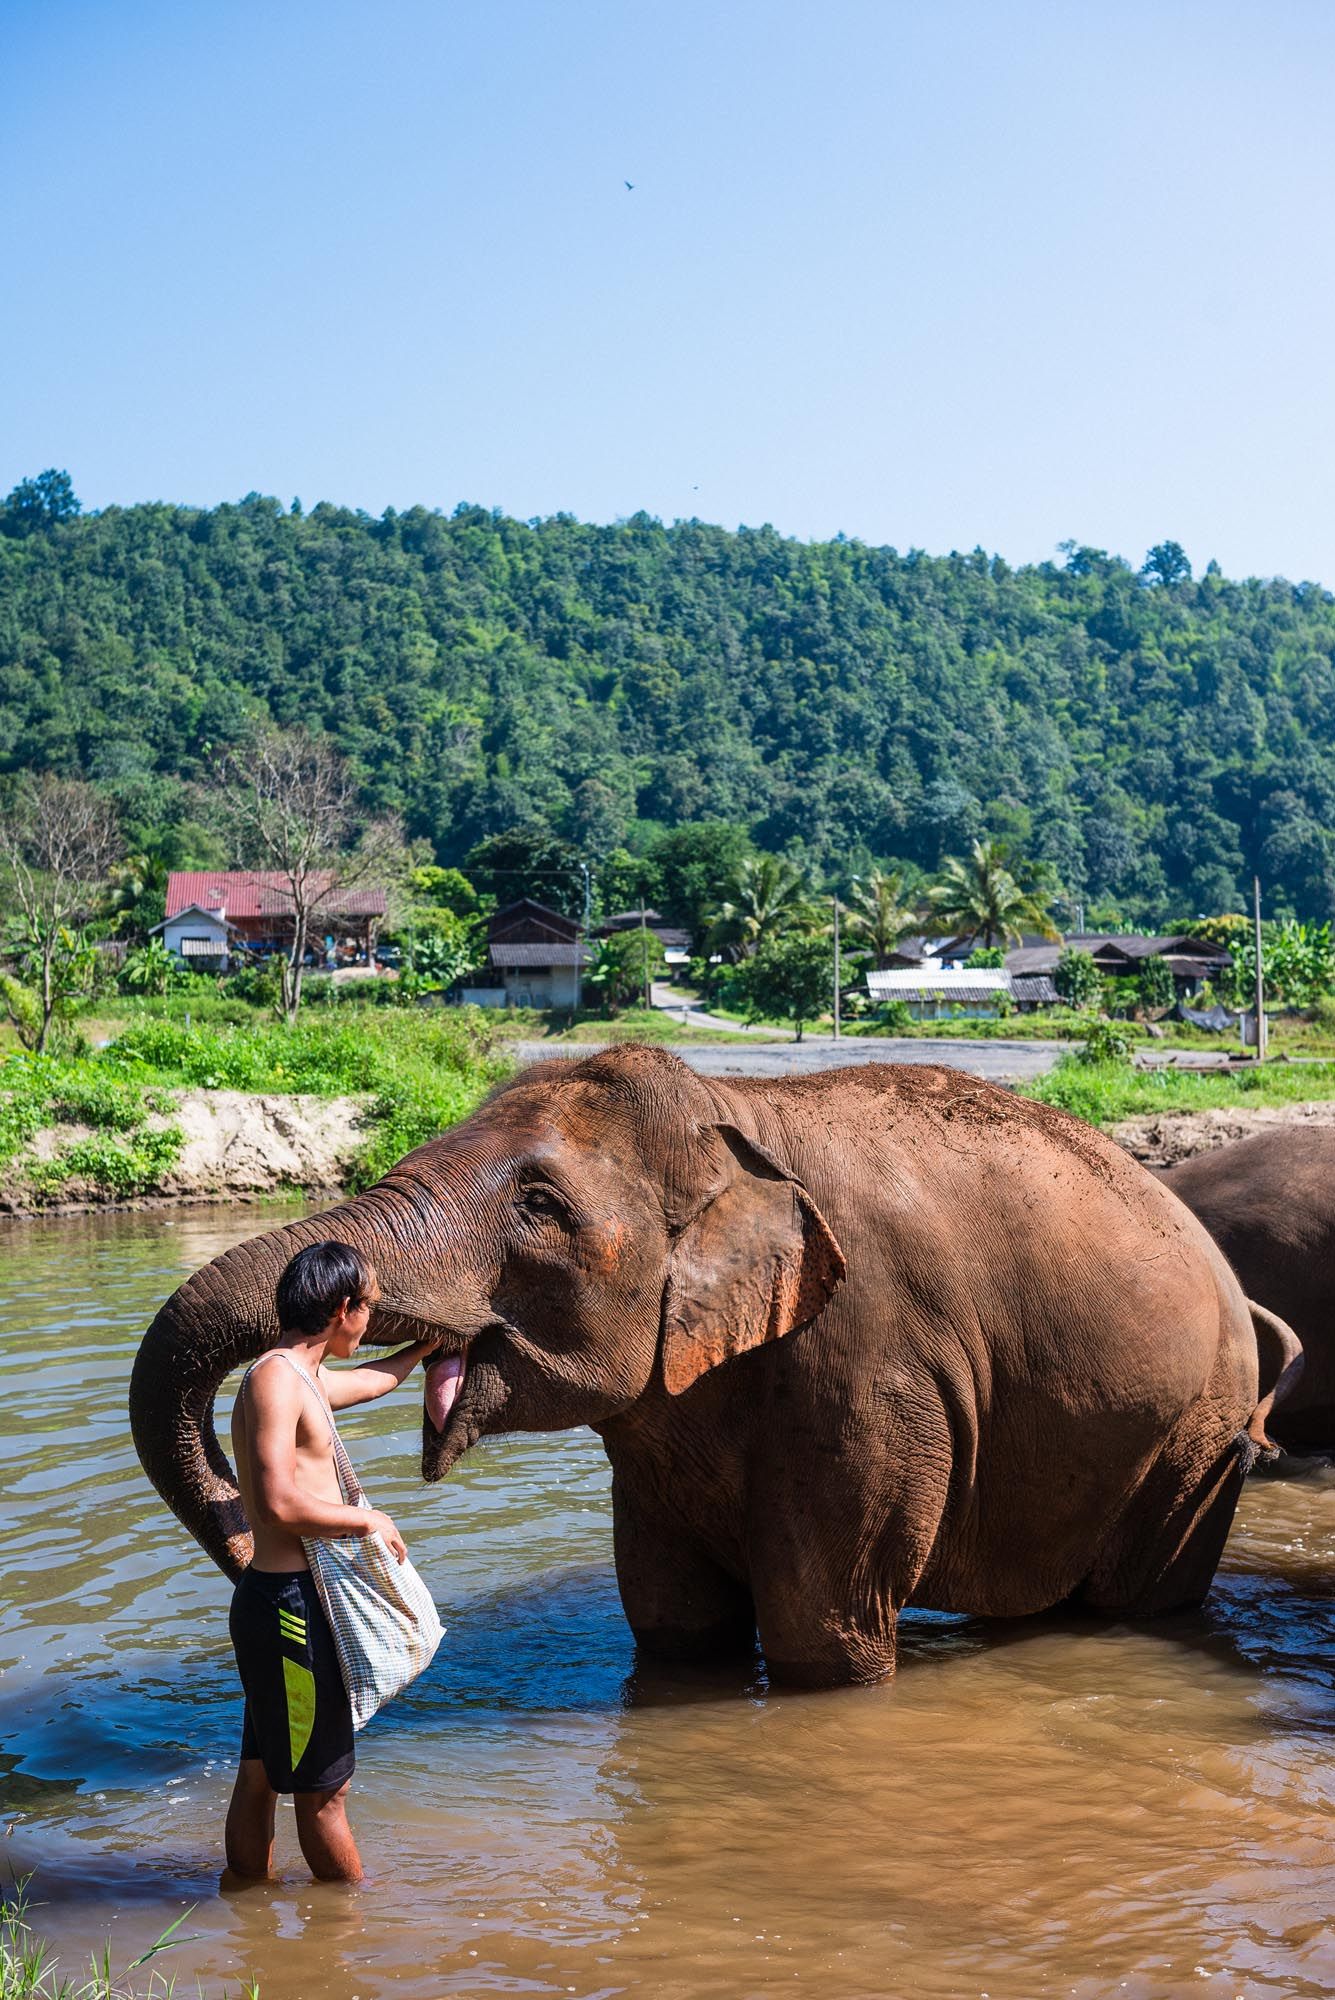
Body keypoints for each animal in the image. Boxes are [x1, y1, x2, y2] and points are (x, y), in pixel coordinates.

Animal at [130, 1045, 1300, 1687]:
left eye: (539, 1206)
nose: (256, 1553)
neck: (735, 1112)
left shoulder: (867, 1364)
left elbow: (822, 1628)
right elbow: (672, 1622)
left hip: (1193, 1441)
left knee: (1137, 1597)